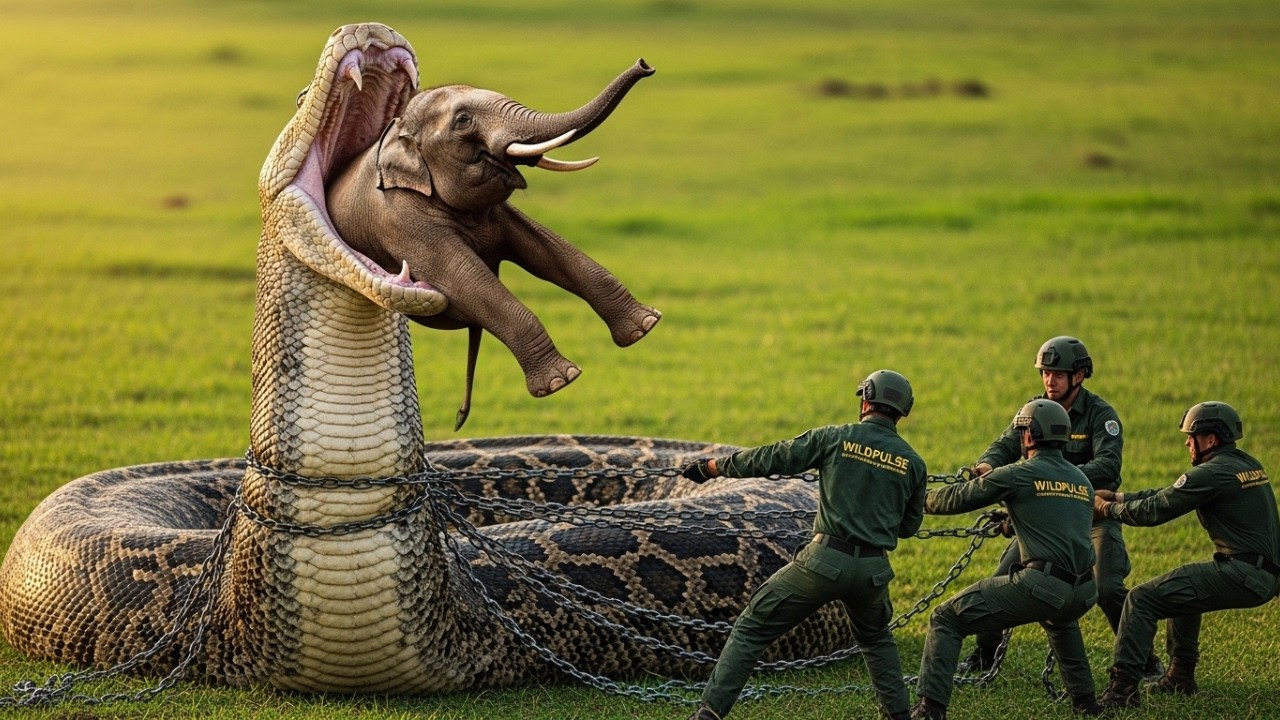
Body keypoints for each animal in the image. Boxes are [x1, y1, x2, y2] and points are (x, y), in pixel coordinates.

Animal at [326, 59, 661, 428]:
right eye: (462, 120)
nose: (645, 65)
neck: (397, 134)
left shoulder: (498, 215)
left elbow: (546, 247)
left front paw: (646, 327)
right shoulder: (402, 220)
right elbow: (467, 278)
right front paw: (563, 381)